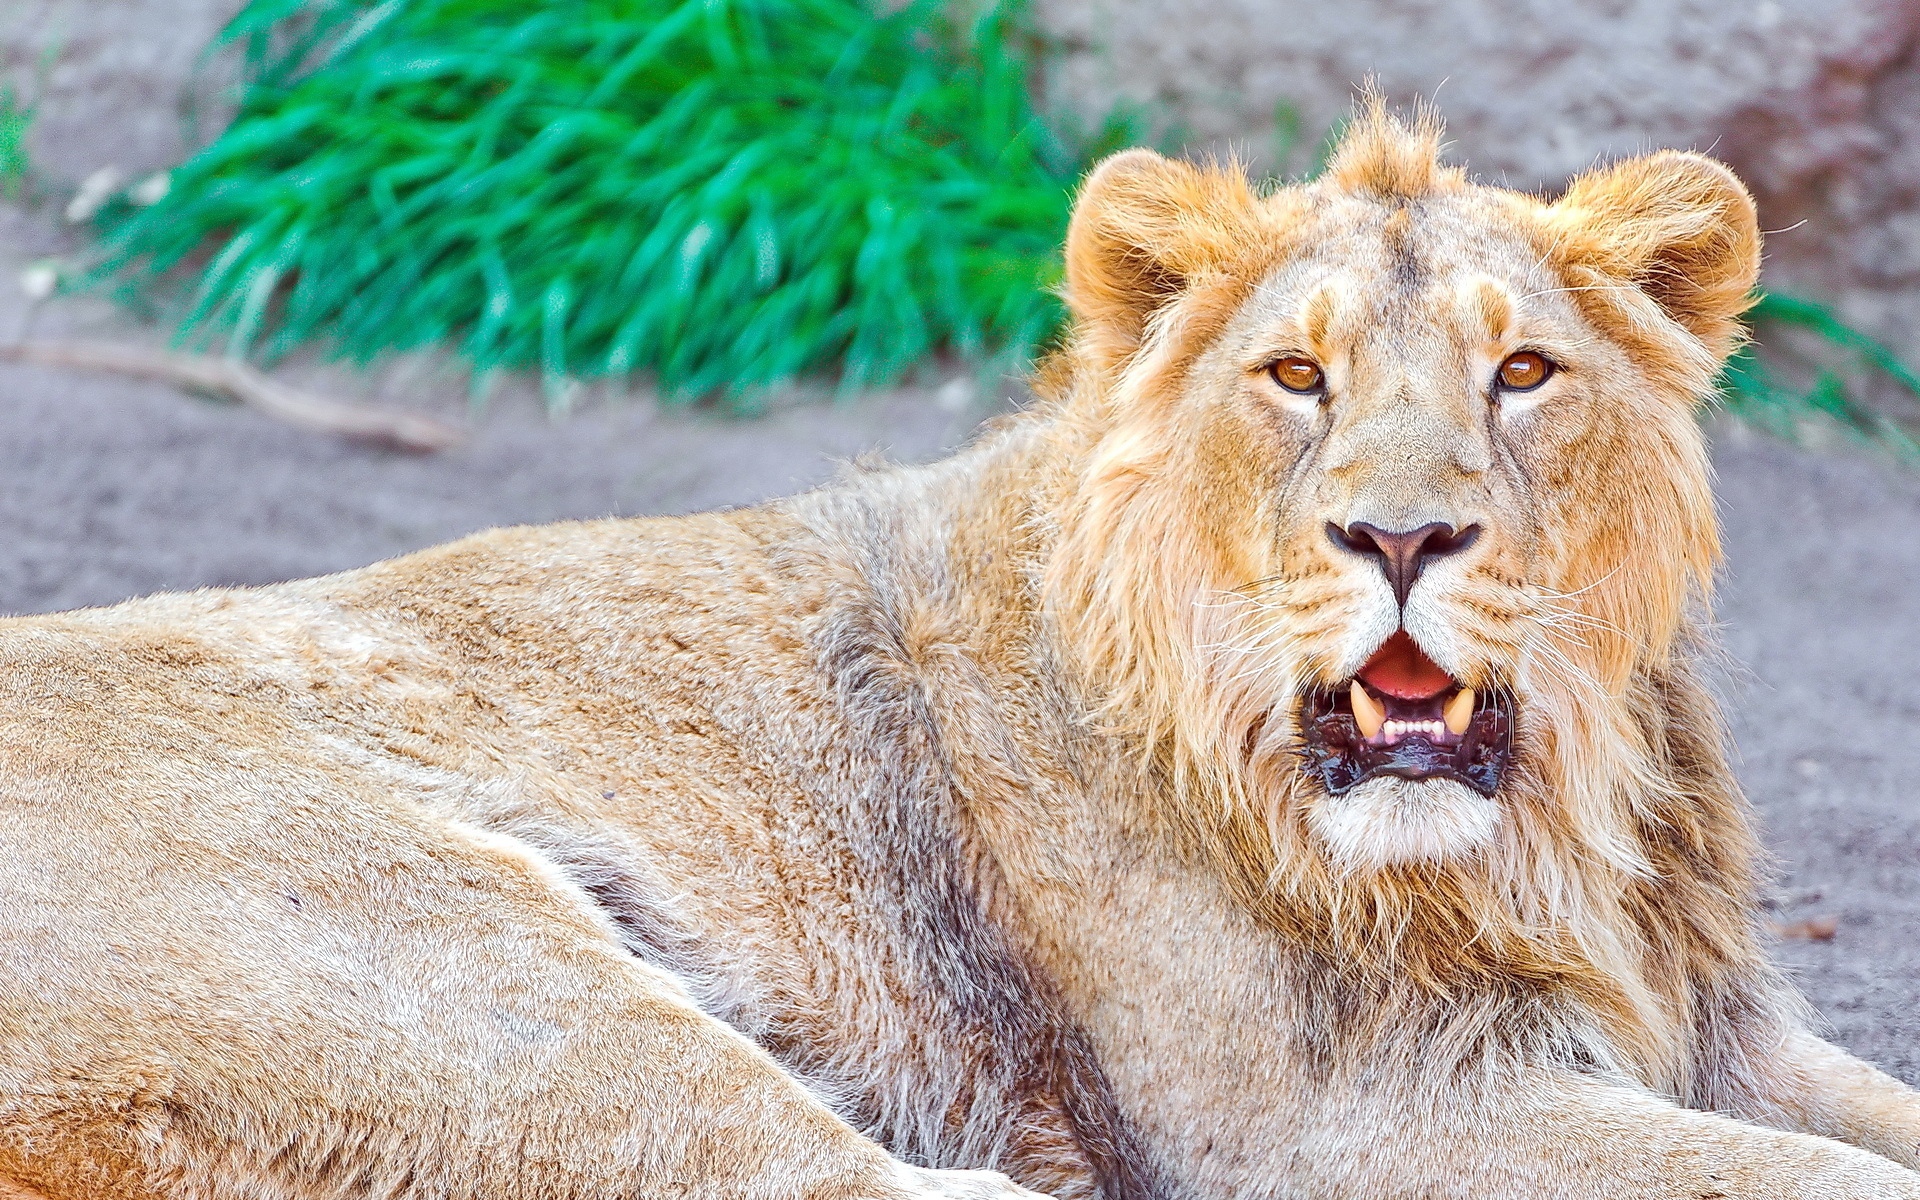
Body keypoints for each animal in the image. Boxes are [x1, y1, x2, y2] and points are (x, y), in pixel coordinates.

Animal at [3, 103, 1919, 1200]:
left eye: (1522, 373)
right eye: (1295, 377)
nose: (1398, 540)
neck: (1547, 836)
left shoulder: (1725, 1037)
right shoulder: (1355, 1125)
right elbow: (1803, 1184)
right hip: (448, 971)